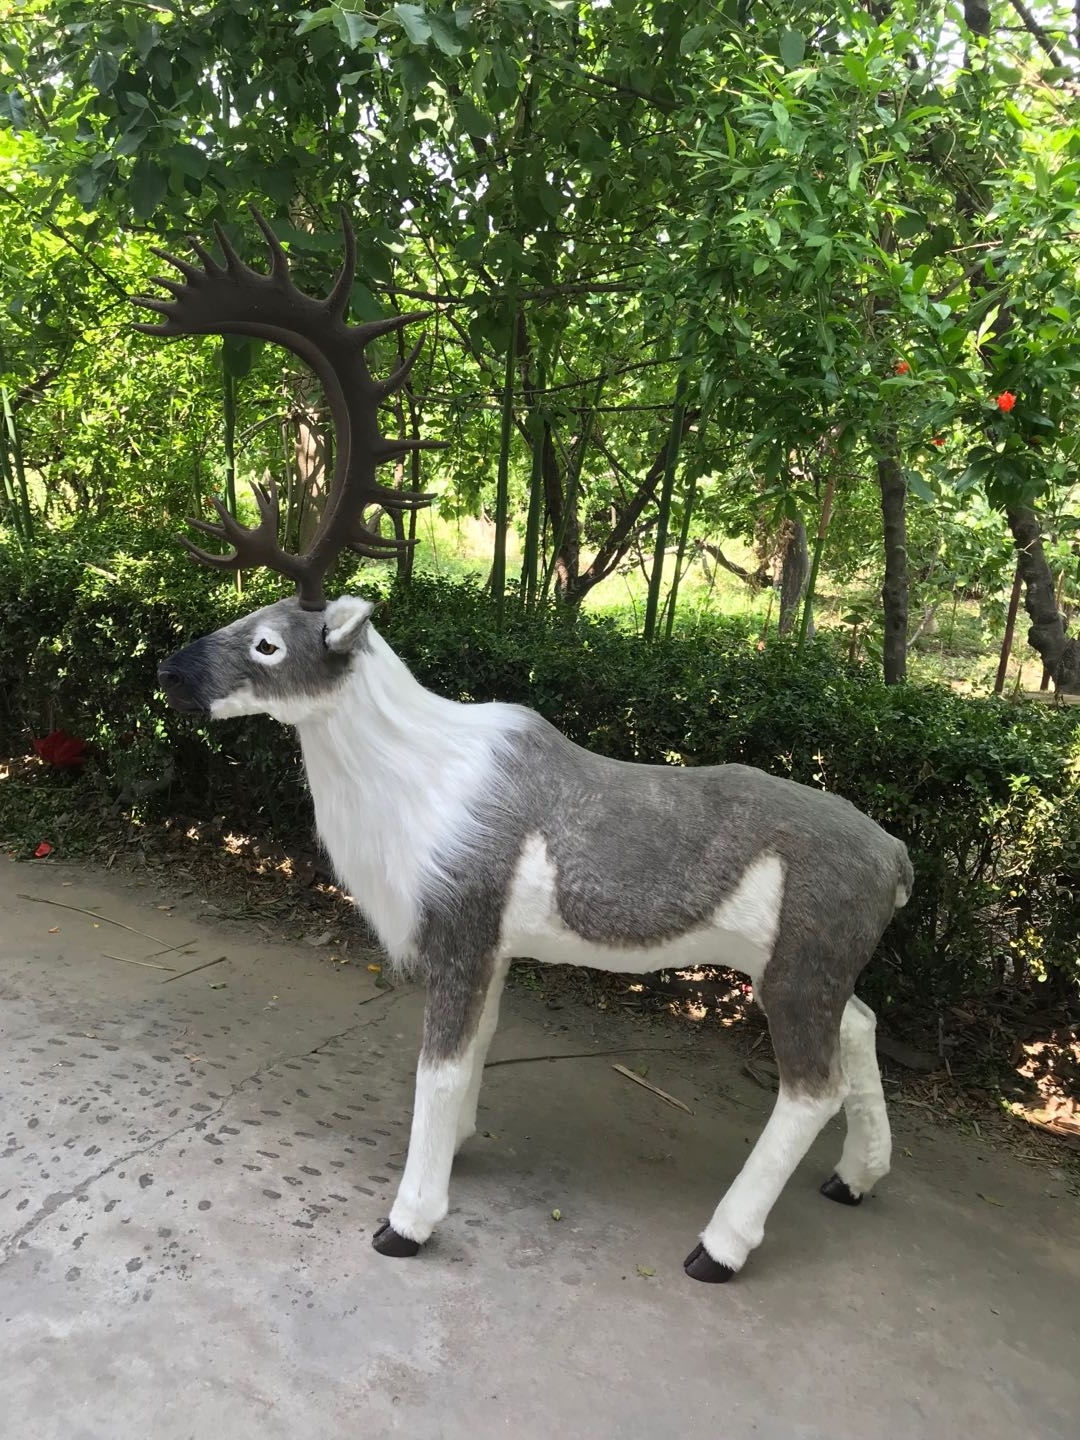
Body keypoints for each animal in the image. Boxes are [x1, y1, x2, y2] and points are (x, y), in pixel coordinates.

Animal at [142, 214, 913, 1284]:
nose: (168, 672)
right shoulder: (500, 945)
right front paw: (465, 1144)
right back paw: (856, 1180)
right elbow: (477, 1053)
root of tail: (899, 861)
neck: (407, 787)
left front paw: (409, 1219)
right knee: (866, 1025)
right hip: (810, 961)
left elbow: (436, 1064)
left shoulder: (461, 922)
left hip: (799, 960)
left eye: (266, 641)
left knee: (811, 1083)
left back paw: (718, 1247)